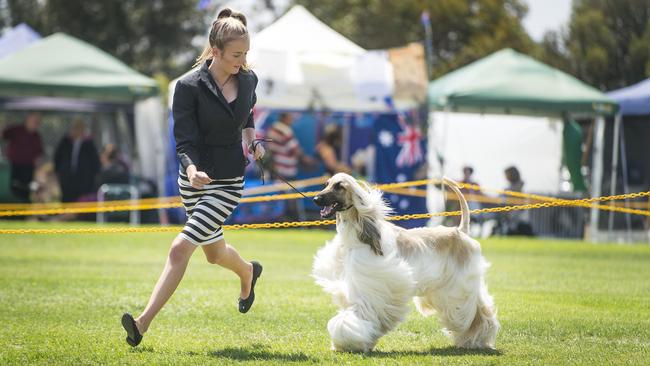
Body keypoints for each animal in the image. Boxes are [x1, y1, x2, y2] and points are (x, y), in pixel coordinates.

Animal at [312, 174, 498, 352]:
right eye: (326, 183)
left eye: (339, 186)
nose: (315, 199)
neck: (358, 234)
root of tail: (460, 231)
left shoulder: (373, 284)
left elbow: (361, 312)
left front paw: (348, 341)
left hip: (459, 286)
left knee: (473, 312)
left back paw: (477, 339)